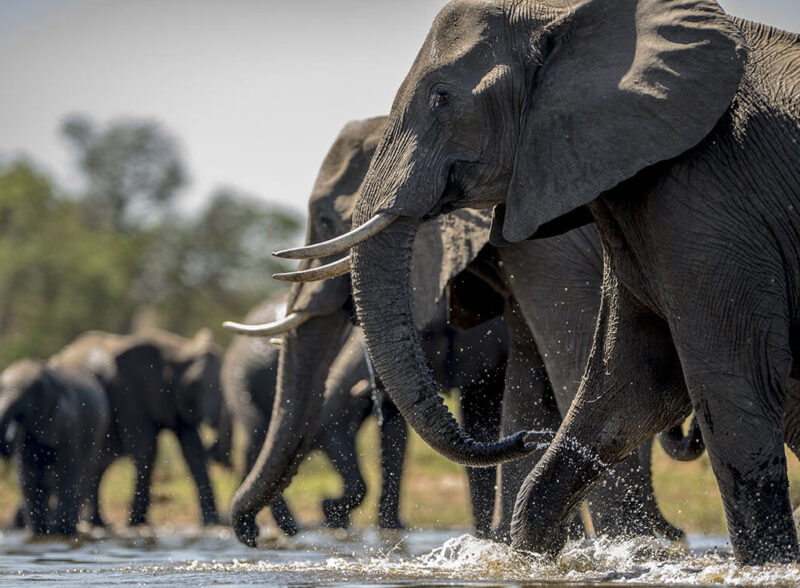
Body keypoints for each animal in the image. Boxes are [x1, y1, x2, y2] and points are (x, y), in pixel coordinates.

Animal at [0, 358, 109, 535]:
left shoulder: (68, 421)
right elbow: (29, 473)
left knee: (84, 474)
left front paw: (61, 530)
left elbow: (66, 469)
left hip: (98, 431)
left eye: (28, 397)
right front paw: (38, 532)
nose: (9, 438)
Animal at [50, 327, 232, 527]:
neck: (176, 350)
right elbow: (146, 448)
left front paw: (212, 522)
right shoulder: (130, 391)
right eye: (195, 384)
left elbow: (193, 450)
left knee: (98, 466)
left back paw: (99, 523)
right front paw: (136, 523)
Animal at [227, 116, 684, 546]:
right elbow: (521, 384)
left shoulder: (549, 252)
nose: (252, 537)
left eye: (325, 221)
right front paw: (504, 546)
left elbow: (573, 363)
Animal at [295, 0, 800, 565]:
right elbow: (630, 379)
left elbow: (730, 380)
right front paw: (537, 555)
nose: (530, 439)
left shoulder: (707, 198)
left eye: (442, 98)